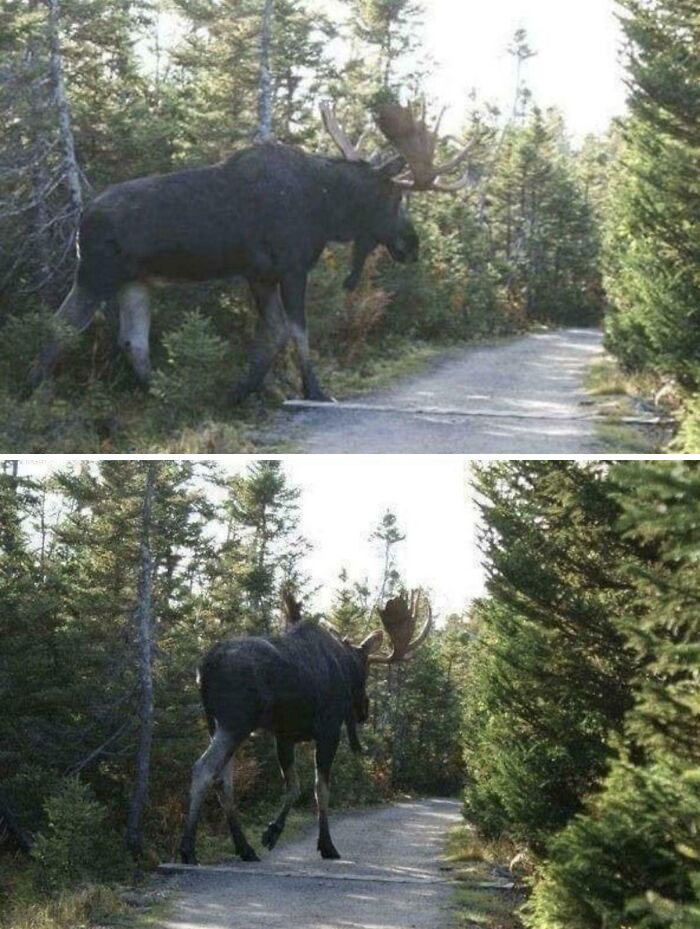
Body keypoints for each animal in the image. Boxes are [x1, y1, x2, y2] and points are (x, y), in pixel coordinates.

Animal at [30, 103, 479, 403]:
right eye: (394, 198)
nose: (412, 245)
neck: (326, 207)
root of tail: (81, 219)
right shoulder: (292, 266)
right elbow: (297, 330)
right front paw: (314, 390)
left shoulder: (259, 273)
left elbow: (274, 332)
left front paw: (244, 392)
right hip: (96, 273)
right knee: (58, 327)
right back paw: (36, 394)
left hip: (136, 282)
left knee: (132, 341)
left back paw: (166, 398)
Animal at [179, 589, 432, 864]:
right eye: (365, 670)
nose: (364, 710)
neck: (343, 663)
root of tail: (204, 667)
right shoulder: (328, 731)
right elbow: (320, 789)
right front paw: (326, 845)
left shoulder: (284, 735)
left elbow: (294, 786)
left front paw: (272, 832)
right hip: (235, 722)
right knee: (203, 769)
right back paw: (188, 850)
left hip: (215, 724)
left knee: (223, 780)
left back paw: (245, 848)